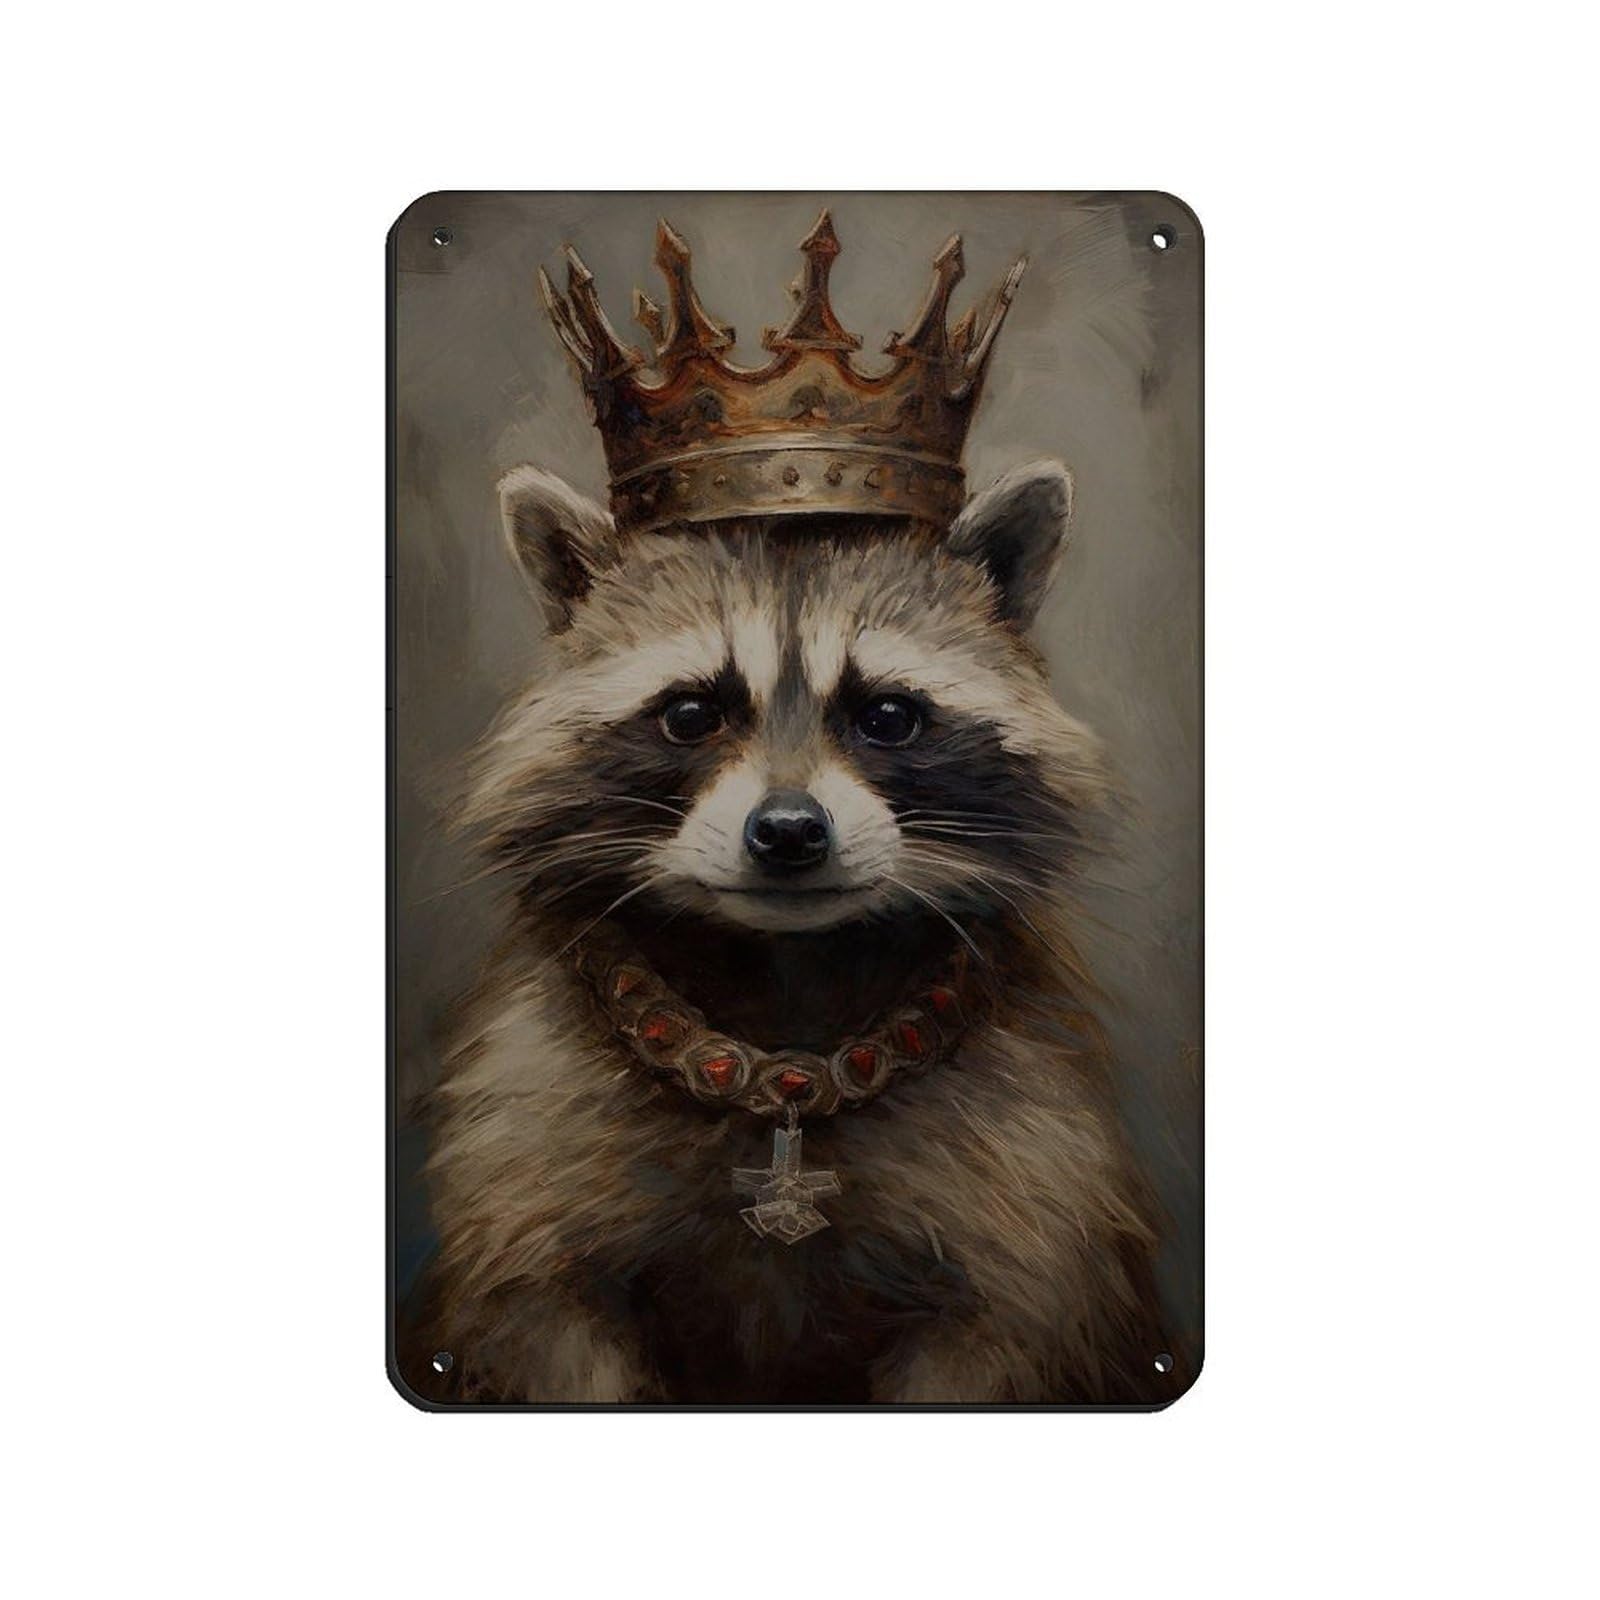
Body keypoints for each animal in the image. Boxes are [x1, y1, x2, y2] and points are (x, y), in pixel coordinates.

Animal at [399, 459, 1178, 1405]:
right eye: (691, 713)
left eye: (888, 716)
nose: (789, 832)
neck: (787, 989)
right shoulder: (528, 1169)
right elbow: (549, 1339)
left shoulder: (1032, 1204)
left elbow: (999, 1341)